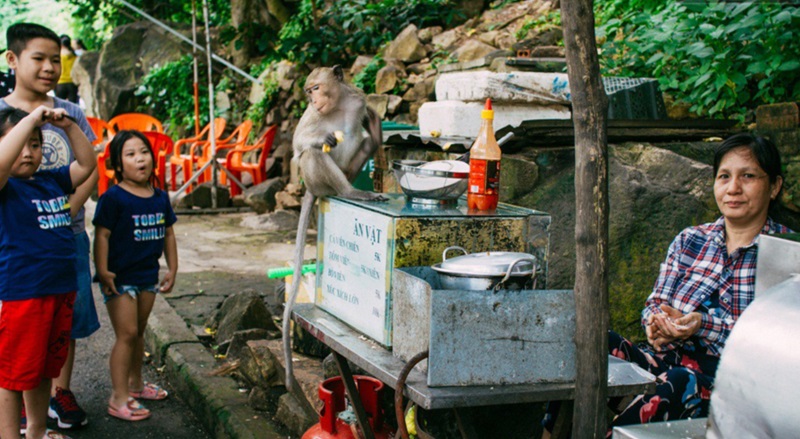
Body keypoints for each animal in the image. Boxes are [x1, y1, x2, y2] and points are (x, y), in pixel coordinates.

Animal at [282, 65, 388, 392]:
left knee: (363, 141)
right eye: (308, 92)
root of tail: (312, 189)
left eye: (315, 88)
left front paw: (375, 127)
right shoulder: (311, 118)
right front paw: (320, 138)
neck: (337, 104)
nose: (313, 101)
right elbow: (299, 146)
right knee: (313, 155)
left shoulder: (359, 100)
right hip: (316, 181)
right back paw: (349, 192)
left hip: (349, 170)